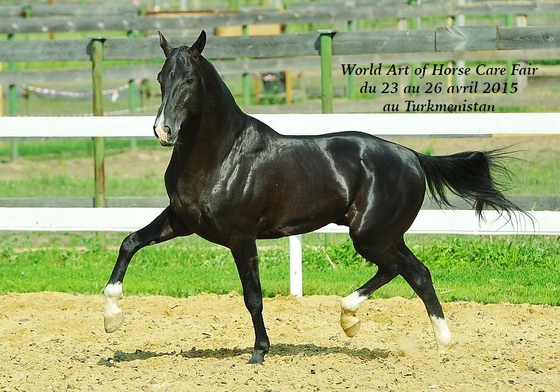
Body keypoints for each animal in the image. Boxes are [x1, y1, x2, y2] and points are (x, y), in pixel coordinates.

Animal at [104, 31, 524, 364]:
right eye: (161, 77)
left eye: (189, 79)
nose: (163, 130)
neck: (222, 155)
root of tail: (412, 156)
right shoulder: (182, 221)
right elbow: (129, 243)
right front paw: (111, 319)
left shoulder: (241, 237)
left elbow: (253, 296)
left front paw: (259, 352)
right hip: (385, 234)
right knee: (416, 273)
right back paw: (433, 342)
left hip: (370, 235)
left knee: (402, 270)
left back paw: (352, 319)